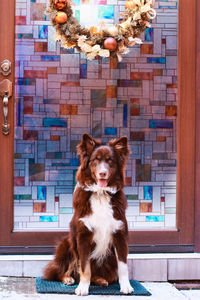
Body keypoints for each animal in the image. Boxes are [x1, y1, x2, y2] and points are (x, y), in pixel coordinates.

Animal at [44, 133, 134, 296]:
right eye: (95, 160)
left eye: (110, 161)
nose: (102, 173)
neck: (101, 193)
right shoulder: (83, 235)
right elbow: (85, 267)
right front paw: (82, 288)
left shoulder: (119, 234)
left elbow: (123, 265)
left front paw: (126, 286)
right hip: (67, 243)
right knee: (61, 270)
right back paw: (68, 278)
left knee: (105, 275)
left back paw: (101, 280)